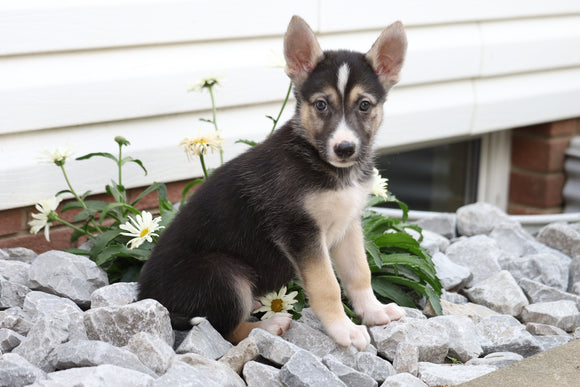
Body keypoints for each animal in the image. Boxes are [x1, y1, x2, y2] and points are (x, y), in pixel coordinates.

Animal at [137, 15, 408, 350]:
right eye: (321, 105)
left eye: (365, 105)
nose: (344, 148)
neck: (324, 165)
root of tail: (149, 298)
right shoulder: (300, 232)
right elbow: (327, 286)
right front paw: (344, 329)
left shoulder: (348, 226)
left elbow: (360, 273)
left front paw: (374, 311)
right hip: (223, 273)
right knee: (223, 329)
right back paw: (269, 325)